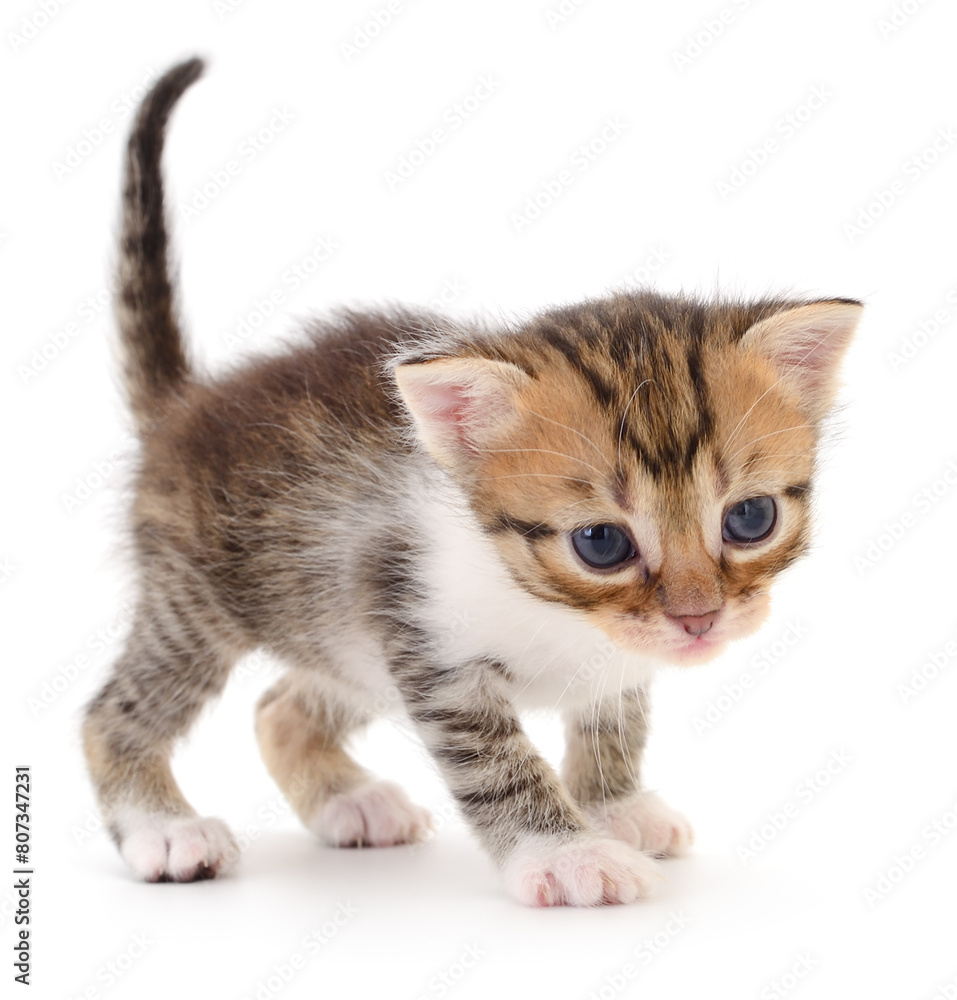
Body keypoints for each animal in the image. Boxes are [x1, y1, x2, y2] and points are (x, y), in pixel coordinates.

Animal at [80, 60, 860, 908]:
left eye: (749, 519)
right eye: (601, 543)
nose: (699, 621)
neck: (554, 611)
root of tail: (188, 404)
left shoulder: (584, 651)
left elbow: (613, 714)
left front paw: (613, 804)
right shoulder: (424, 634)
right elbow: (495, 760)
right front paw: (567, 854)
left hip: (338, 636)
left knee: (278, 706)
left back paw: (349, 800)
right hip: (202, 600)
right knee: (113, 710)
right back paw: (164, 828)